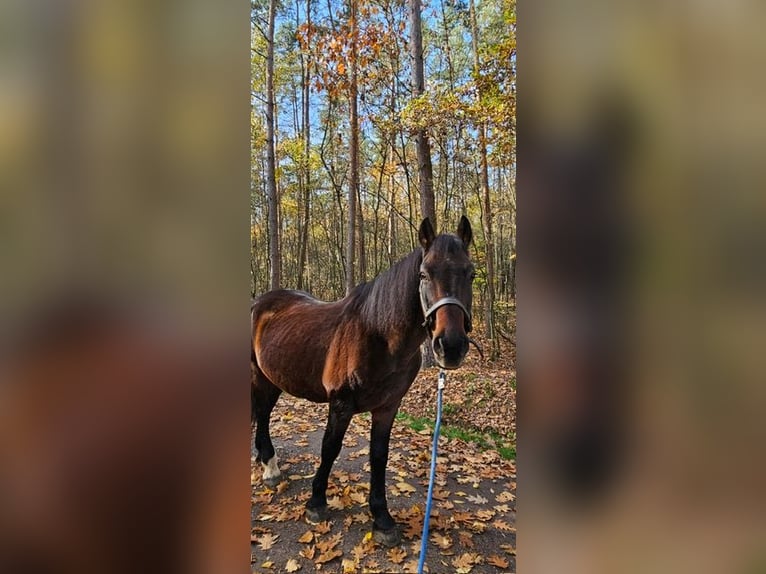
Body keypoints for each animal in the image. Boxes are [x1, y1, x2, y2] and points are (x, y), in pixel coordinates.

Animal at [252, 217, 476, 548]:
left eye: (471, 274)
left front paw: (382, 518)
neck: (378, 335)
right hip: (259, 376)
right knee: (263, 413)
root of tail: (260, 303)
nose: (450, 346)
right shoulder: (341, 404)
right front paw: (316, 503)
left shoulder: (388, 407)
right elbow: (330, 448)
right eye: (424, 274)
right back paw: (269, 466)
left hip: (274, 379)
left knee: (263, 413)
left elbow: (379, 456)